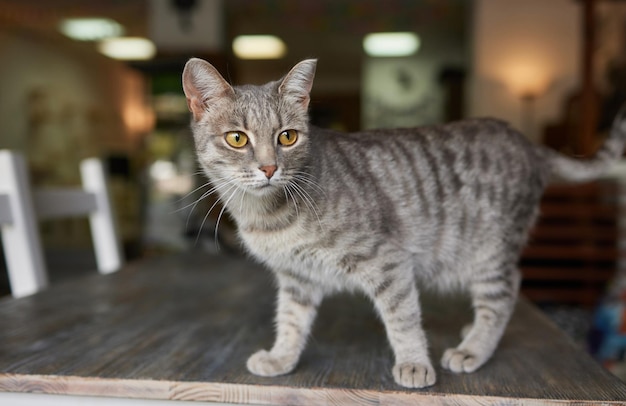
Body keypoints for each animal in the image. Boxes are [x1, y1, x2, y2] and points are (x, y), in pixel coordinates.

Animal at [180, 56, 624, 386]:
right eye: (237, 138)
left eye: (287, 137)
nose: (270, 168)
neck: (267, 215)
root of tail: (528, 144)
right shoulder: (297, 278)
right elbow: (290, 321)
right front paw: (281, 357)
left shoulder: (388, 261)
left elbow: (403, 318)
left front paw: (414, 363)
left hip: (489, 251)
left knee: (505, 293)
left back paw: (474, 348)